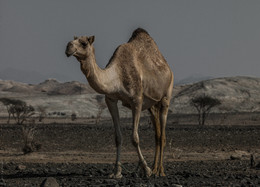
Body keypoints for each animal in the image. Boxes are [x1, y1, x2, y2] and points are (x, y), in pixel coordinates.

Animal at [66, 28, 174, 178]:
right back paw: (154, 168)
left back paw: (160, 171)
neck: (116, 77)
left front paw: (145, 169)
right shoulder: (110, 100)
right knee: (157, 135)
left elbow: (134, 138)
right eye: (73, 40)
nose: (68, 47)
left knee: (162, 135)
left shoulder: (137, 100)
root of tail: (167, 68)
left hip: (166, 96)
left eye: (83, 43)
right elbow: (118, 137)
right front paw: (116, 172)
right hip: (152, 106)